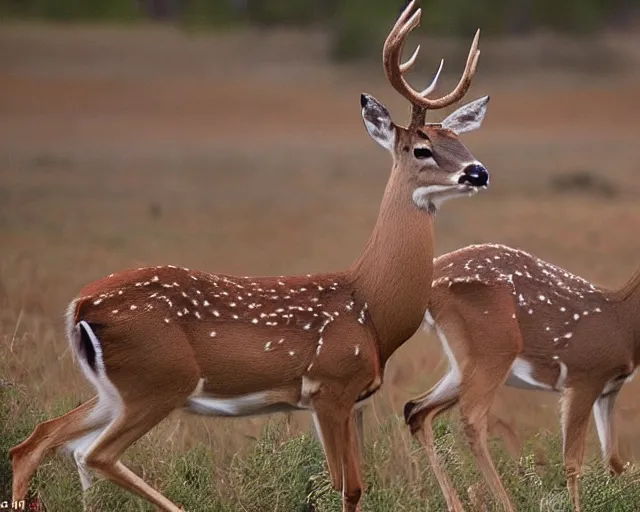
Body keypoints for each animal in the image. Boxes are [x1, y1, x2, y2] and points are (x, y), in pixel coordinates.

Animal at [8, 2, 490, 510]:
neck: (371, 306)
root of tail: (80, 306)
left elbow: (354, 487)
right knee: (91, 454)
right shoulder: (329, 387)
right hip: (157, 382)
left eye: (461, 141)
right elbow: (346, 486)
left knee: (36, 441)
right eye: (422, 148)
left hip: (115, 390)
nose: (478, 172)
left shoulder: (353, 399)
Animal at [402, 244, 636, 512]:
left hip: (464, 366)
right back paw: (505, 504)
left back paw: (456, 505)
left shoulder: (609, 389)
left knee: (416, 409)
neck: (623, 320)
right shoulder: (585, 377)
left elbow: (613, 459)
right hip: (496, 348)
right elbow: (573, 462)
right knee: (471, 421)